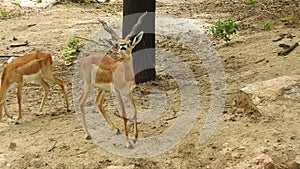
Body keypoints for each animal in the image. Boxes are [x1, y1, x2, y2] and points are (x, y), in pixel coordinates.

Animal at [78, 11, 147, 148]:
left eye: (129, 43)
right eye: (117, 44)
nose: (122, 46)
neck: (125, 75)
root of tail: (84, 60)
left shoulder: (130, 92)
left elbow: (135, 111)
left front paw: (135, 137)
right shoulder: (118, 93)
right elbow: (124, 114)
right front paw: (128, 143)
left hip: (102, 89)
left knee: (98, 102)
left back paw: (115, 129)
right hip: (89, 85)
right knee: (81, 102)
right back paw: (87, 134)